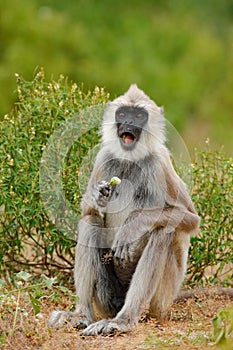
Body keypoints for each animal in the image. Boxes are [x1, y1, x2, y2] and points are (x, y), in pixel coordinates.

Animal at [49, 85, 200, 336]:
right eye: (122, 113)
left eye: (138, 115)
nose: (128, 122)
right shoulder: (103, 157)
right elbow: (86, 210)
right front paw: (95, 195)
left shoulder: (160, 163)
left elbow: (190, 218)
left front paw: (133, 224)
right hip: (106, 298)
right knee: (90, 221)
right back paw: (82, 315)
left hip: (161, 301)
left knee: (163, 231)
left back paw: (125, 320)